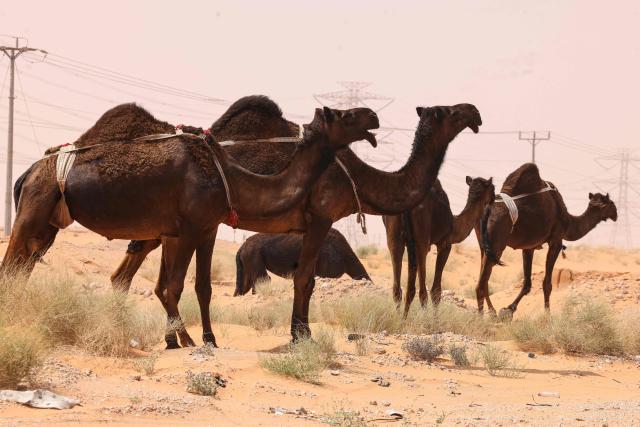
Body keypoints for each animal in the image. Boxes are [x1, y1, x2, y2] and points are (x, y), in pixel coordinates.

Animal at [383, 176, 495, 316]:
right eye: (493, 188)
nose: (495, 198)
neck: (454, 225)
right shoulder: (445, 244)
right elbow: (436, 291)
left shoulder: (412, 244)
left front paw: (405, 316)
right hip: (421, 238)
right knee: (422, 292)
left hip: (394, 237)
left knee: (398, 288)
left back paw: (399, 317)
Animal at [474, 163, 617, 318]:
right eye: (611, 203)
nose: (616, 214)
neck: (568, 221)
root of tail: (487, 209)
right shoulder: (556, 241)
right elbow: (547, 284)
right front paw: (547, 315)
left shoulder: (528, 247)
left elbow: (527, 284)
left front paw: (509, 310)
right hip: (496, 244)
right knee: (481, 284)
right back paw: (483, 317)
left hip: (484, 245)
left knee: (483, 281)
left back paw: (492, 312)